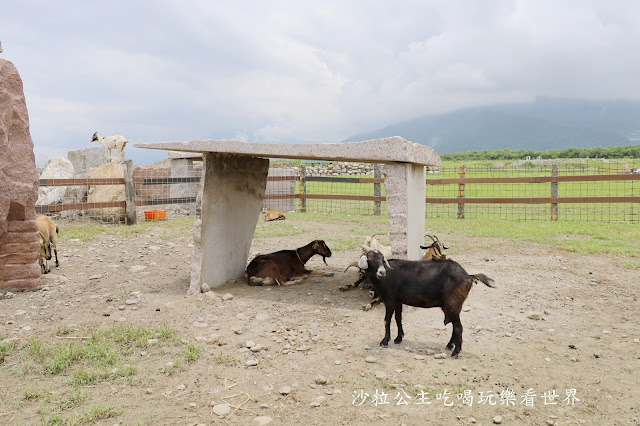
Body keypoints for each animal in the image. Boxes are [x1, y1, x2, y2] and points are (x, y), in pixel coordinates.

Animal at [356, 250, 496, 356]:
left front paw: (384, 341)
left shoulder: (390, 300)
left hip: (453, 305)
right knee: (455, 326)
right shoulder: (398, 301)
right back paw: (449, 345)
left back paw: (456, 351)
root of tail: (468, 276)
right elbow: (398, 318)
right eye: (370, 258)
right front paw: (398, 338)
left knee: (458, 327)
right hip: (452, 307)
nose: (382, 272)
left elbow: (387, 320)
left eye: (381, 259)